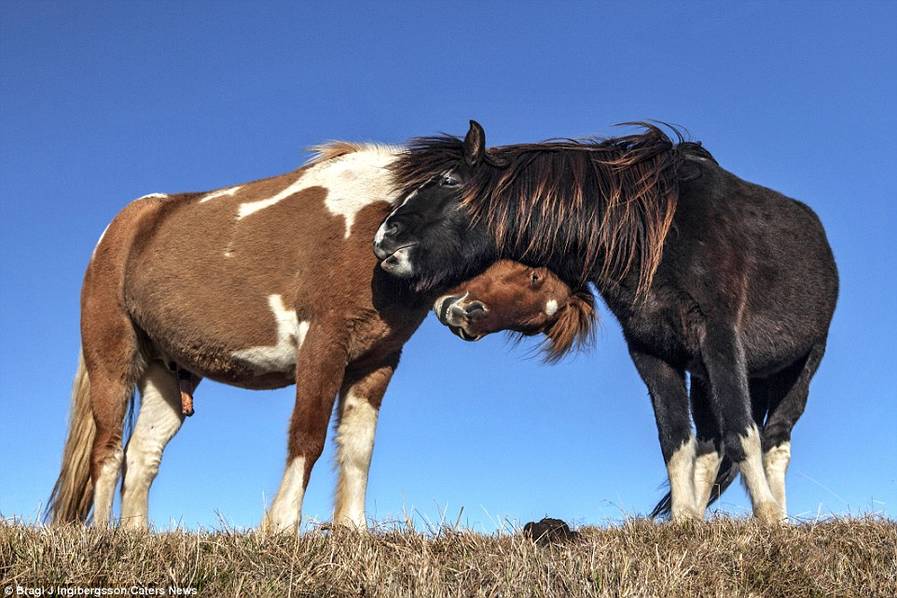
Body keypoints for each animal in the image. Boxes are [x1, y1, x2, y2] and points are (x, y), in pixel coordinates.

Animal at [45, 144, 588, 536]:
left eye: (540, 321)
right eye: (535, 275)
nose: (465, 317)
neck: (377, 227)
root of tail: (122, 227)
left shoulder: (376, 362)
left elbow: (358, 447)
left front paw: (353, 531)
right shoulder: (323, 345)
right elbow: (307, 436)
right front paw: (282, 527)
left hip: (170, 373)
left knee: (143, 455)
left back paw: (134, 537)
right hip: (113, 358)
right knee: (108, 450)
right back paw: (103, 536)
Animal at [374, 122, 836, 524]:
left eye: (449, 180)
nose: (383, 240)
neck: (658, 232)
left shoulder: (721, 339)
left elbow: (742, 430)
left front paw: (767, 521)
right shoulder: (651, 351)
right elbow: (676, 440)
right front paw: (685, 524)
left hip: (800, 365)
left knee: (775, 439)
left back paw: (779, 515)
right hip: (705, 377)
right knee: (710, 444)